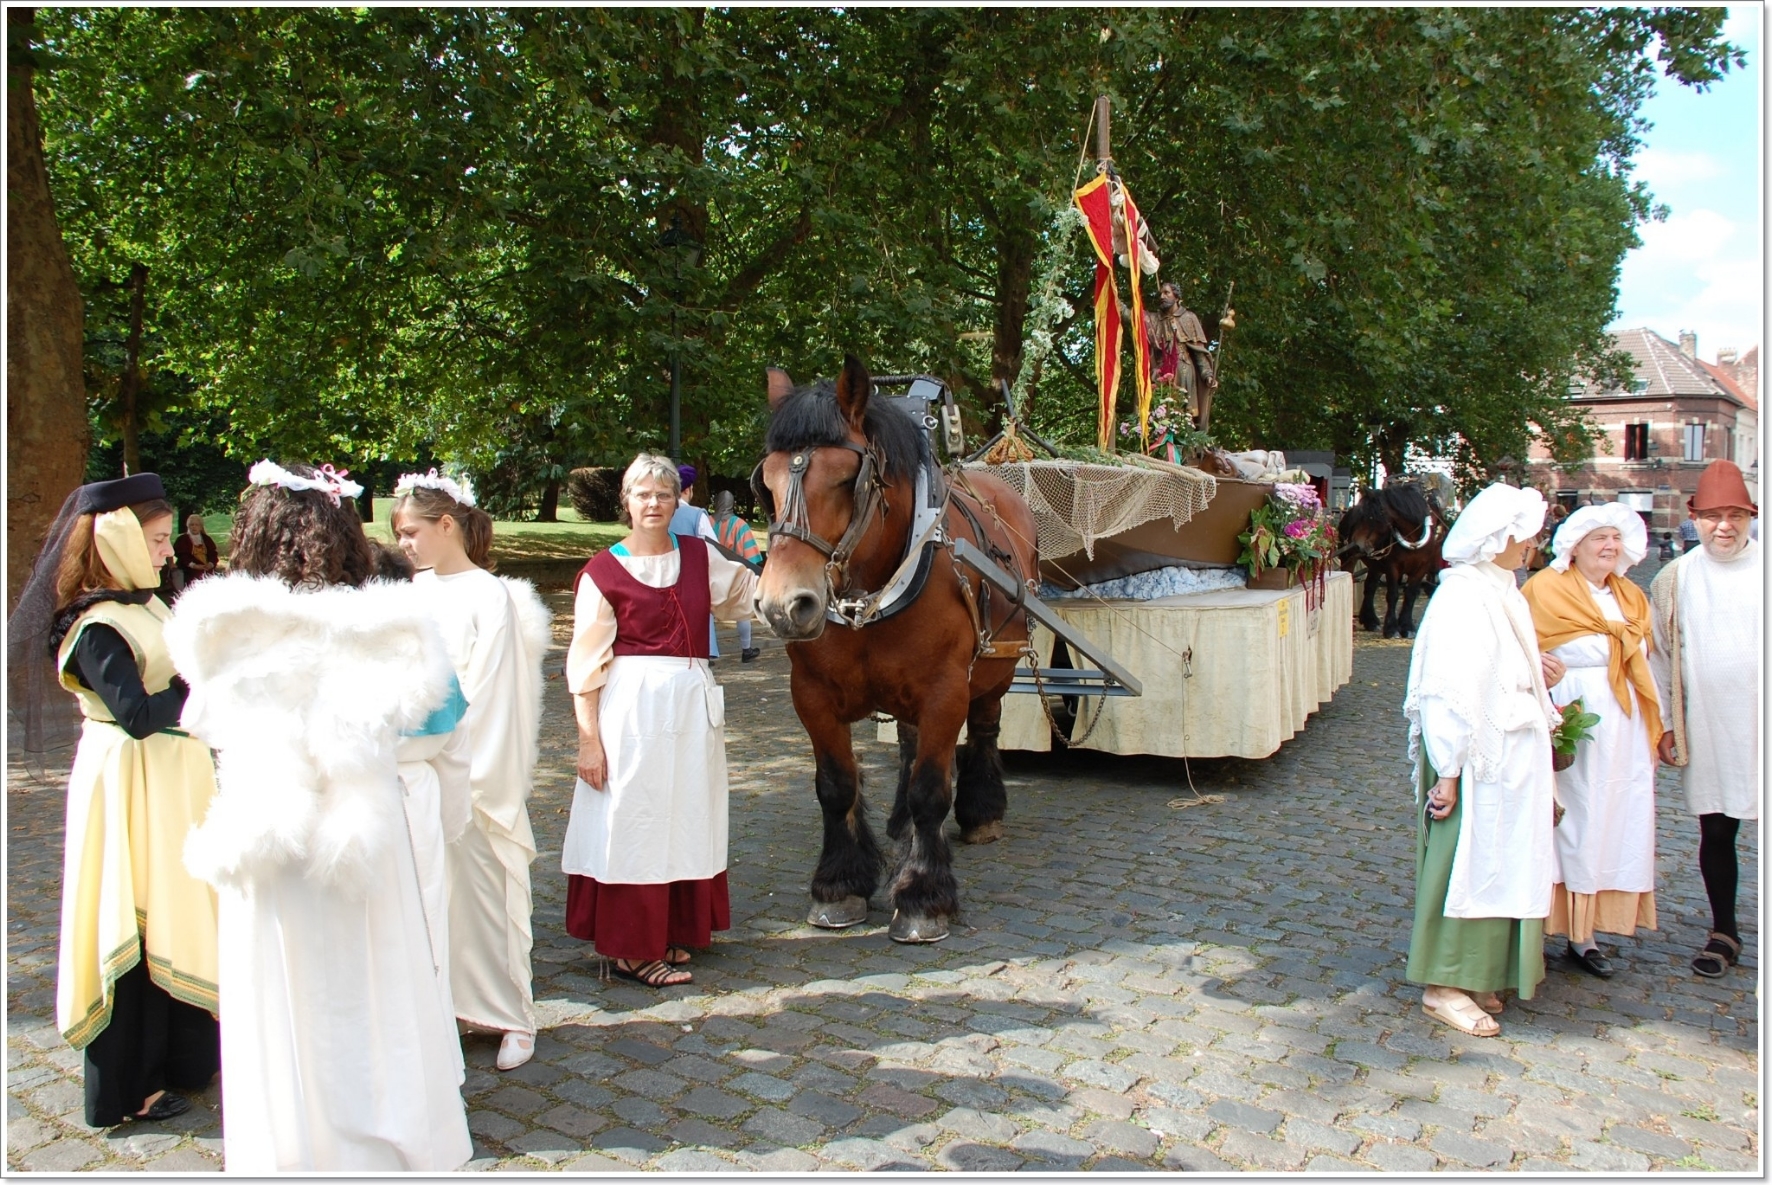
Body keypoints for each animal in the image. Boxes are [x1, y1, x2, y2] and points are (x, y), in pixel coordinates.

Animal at [752, 356, 1039, 944]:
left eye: (846, 479)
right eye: (765, 483)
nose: (783, 606)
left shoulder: (945, 692)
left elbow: (931, 788)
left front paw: (923, 898)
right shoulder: (811, 695)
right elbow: (836, 786)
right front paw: (839, 885)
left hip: (994, 669)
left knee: (984, 729)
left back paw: (982, 813)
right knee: (907, 744)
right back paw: (903, 826)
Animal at [1337, 481, 1447, 638]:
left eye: (1371, 516)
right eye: (1363, 515)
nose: (1357, 544)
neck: (1412, 538)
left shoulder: (1422, 567)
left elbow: (1410, 594)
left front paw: (1407, 627)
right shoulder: (1393, 567)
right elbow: (1393, 595)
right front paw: (1391, 628)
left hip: (1375, 564)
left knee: (1370, 586)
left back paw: (1370, 620)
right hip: (1349, 558)